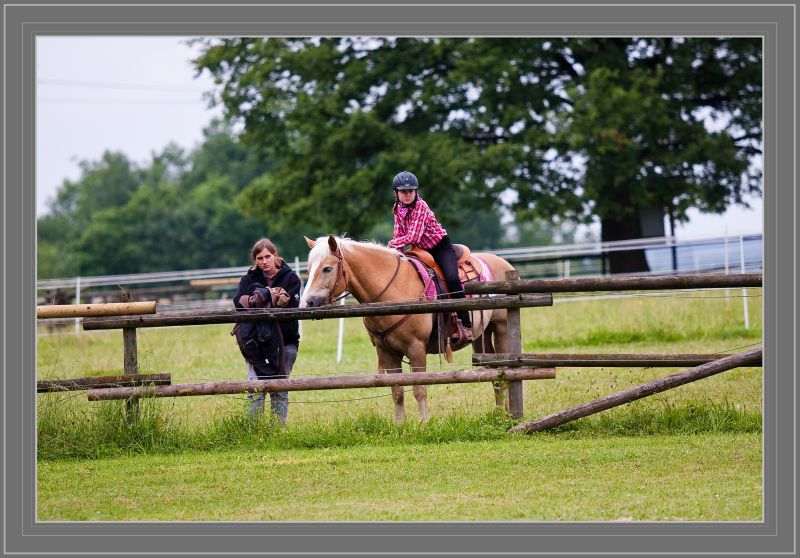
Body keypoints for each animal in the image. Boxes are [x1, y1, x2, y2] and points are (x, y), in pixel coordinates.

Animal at [296, 236, 516, 424]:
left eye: (327, 268)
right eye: (309, 268)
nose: (308, 302)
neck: (392, 291)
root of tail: (504, 264)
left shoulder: (416, 348)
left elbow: (419, 388)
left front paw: (424, 425)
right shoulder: (386, 351)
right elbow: (397, 391)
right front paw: (400, 427)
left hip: (502, 329)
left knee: (505, 371)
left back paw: (508, 415)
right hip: (482, 336)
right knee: (493, 373)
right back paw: (499, 414)